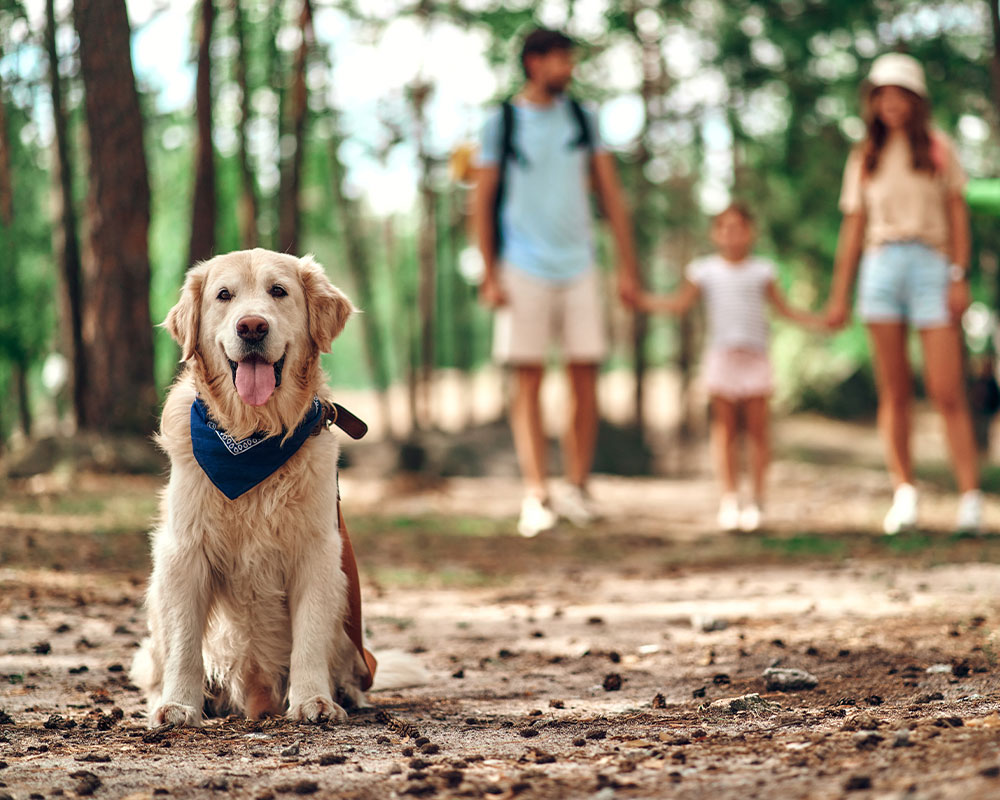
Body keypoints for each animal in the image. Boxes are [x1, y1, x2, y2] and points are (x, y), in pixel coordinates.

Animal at [132, 248, 414, 724]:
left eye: (278, 291)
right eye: (224, 295)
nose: (252, 326)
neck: (253, 437)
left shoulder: (318, 551)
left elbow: (310, 636)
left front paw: (313, 699)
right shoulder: (184, 552)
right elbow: (185, 643)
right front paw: (179, 704)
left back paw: (346, 693)